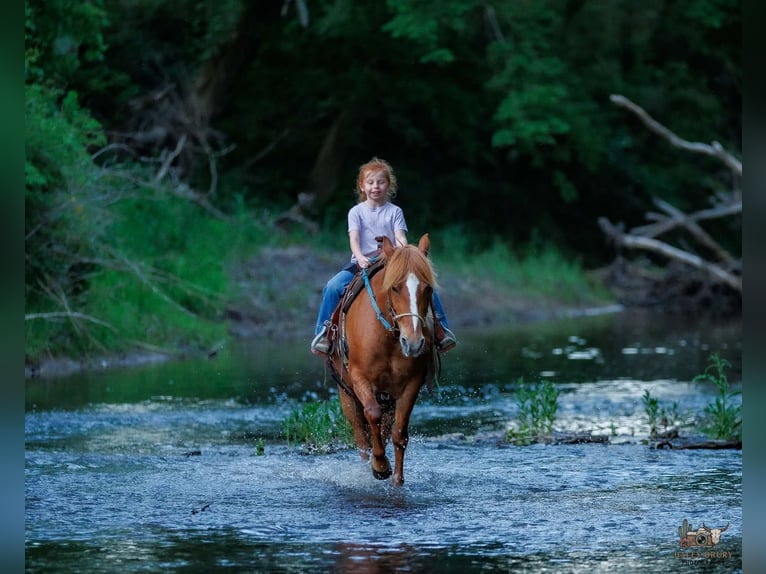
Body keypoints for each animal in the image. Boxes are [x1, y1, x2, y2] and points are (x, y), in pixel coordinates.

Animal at [328, 233, 438, 486]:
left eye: (428, 288)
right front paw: (380, 466)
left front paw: (397, 479)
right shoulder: (360, 378)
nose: (413, 342)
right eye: (395, 288)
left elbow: (399, 433)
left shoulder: (411, 384)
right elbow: (372, 415)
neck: (388, 336)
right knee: (361, 437)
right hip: (347, 394)